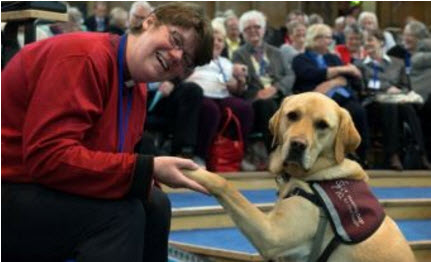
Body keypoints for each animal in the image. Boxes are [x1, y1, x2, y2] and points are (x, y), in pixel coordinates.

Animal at [184, 93, 416, 260]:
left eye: (322, 125)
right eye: (292, 115)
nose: (297, 145)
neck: (315, 175)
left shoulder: (273, 236)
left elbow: (225, 184)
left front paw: (191, 170)